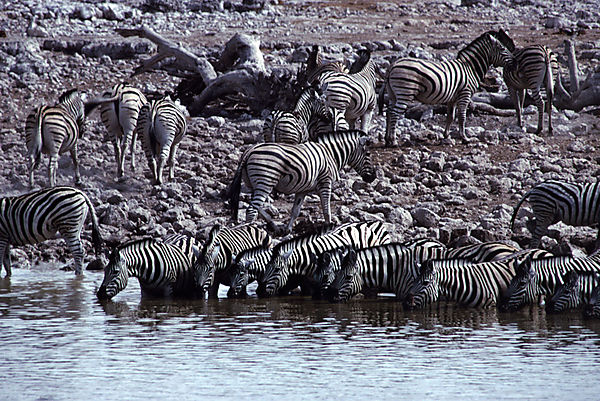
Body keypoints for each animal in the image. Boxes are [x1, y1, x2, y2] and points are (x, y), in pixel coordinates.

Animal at [225, 130, 376, 233]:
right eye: (368, 154)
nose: (373, 177)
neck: (330, 154)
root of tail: (249, 150)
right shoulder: (325, 182)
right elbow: (326, 208)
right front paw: (329, 227)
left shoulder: (303, 190)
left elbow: (295, 210)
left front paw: (288, 230)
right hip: (265, 182)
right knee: (251, 210)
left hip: (253, 184)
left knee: (257, 206)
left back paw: (274, 226)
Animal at [380, 29, 516, 145]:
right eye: (502, 48)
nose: (515, 62)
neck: (470, 68)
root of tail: (393, 65)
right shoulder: (465, 94)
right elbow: (462, 116)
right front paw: (465, 138)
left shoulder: (453, 98)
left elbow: (451, 116)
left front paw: (447, 136)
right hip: (405, 92)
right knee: (394, 113)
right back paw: (393, 141)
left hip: (393, 94)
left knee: (389, 112)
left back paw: (387, 140)